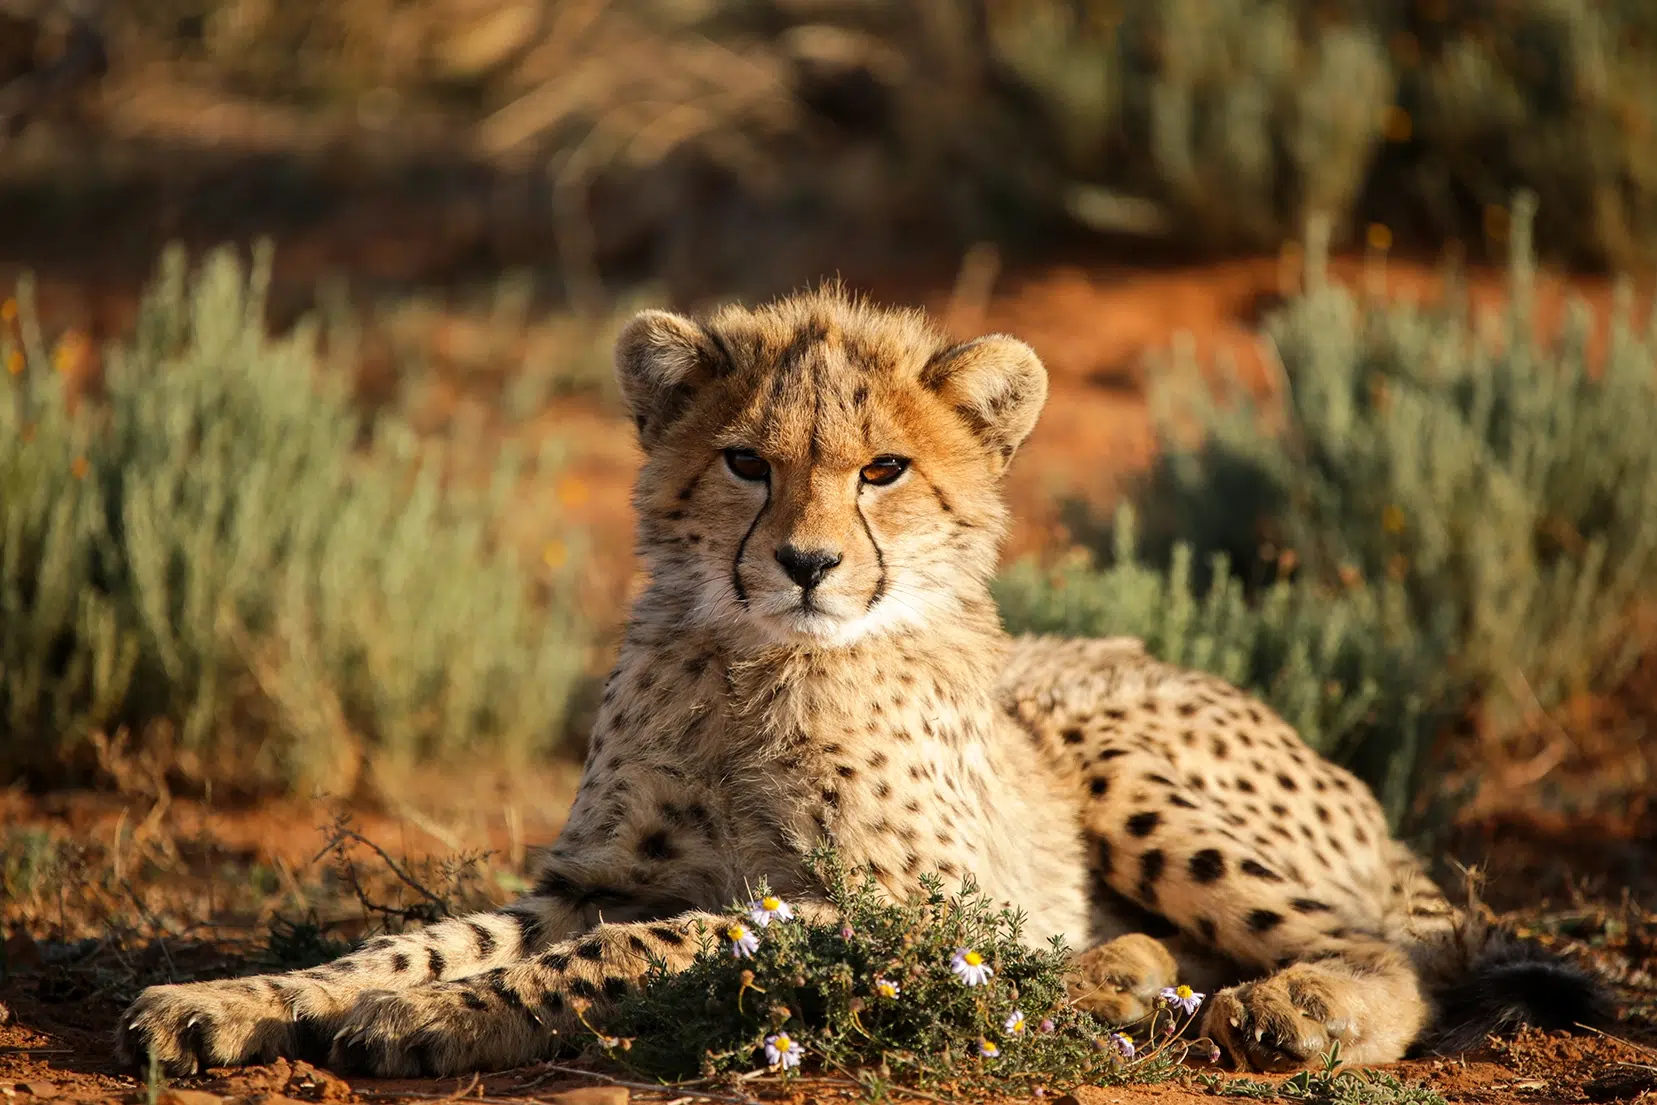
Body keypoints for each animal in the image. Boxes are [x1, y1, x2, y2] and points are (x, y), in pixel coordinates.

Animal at [116, 286, 1610, 1079]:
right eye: (745, 463)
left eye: (882, 468)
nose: (808, 562)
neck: (756, 661)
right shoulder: (602, 876)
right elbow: (430, 933)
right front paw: (237, 998)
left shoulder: (895, 901)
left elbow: (658, 948)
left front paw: (425, 1019)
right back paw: (1117, 977)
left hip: (1126, 764)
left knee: (1392, 948)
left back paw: (1290, 1007)